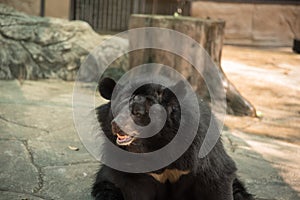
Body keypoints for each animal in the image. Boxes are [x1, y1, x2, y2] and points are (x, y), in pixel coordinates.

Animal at [92, 77, 253, 199]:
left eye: (137, 113)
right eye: (117, 110)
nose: (116, 125)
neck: (154, 142)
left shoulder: (197, 149)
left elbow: (216, 178)